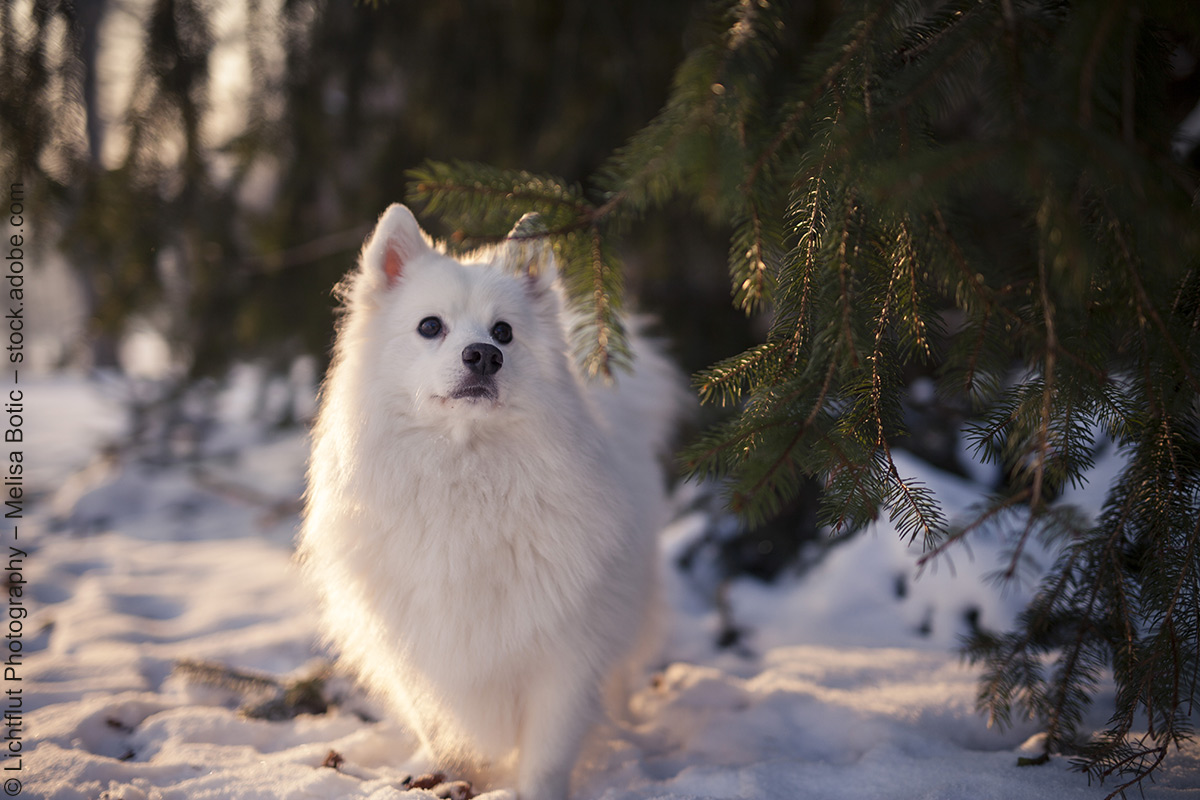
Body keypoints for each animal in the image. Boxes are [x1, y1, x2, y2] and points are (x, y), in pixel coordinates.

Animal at [300, 205, 686, 800]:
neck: (465, 473)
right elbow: (444, 731)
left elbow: (547, 756)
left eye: (503, 331)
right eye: (429, 326)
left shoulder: (565, 658)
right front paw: (451, 779)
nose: (484, 354)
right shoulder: (421, 652)